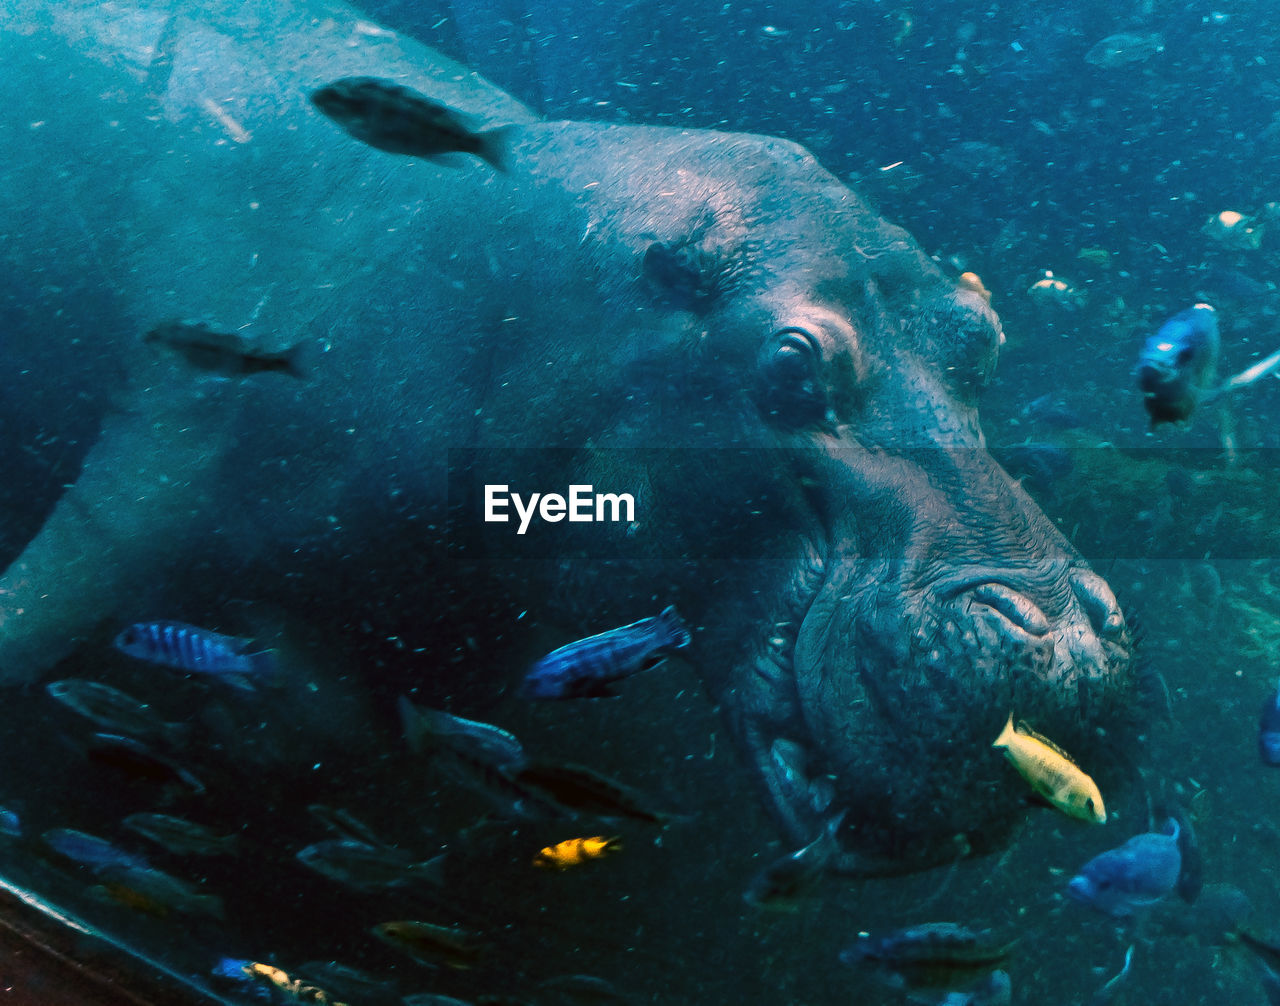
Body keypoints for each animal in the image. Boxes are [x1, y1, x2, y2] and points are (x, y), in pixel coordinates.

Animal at [0, 0, 1141, 870]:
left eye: (982, 333)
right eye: (788, 365)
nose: (1070, 643)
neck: (511, 283)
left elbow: (325, 725)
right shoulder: (155, 459)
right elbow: (32, 622)